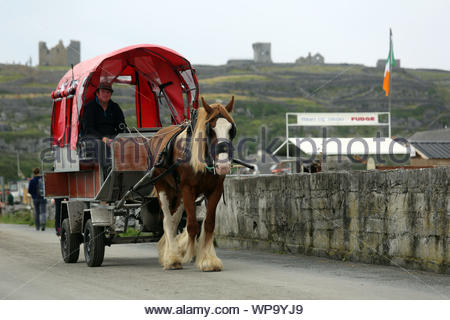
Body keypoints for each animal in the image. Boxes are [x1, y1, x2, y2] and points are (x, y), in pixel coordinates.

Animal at [149, 95, 237, 270]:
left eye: (231, 129)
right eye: (210, 130)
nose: (223, 165)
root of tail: (158, 134)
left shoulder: (215, 190)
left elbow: (209, 224)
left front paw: (208, 259)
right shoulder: (187, 189)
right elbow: (192, 225)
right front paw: (187, 254)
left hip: (177, 193)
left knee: (174, 220)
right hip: (163, 187)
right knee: (167, 220)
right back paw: (172, 258)